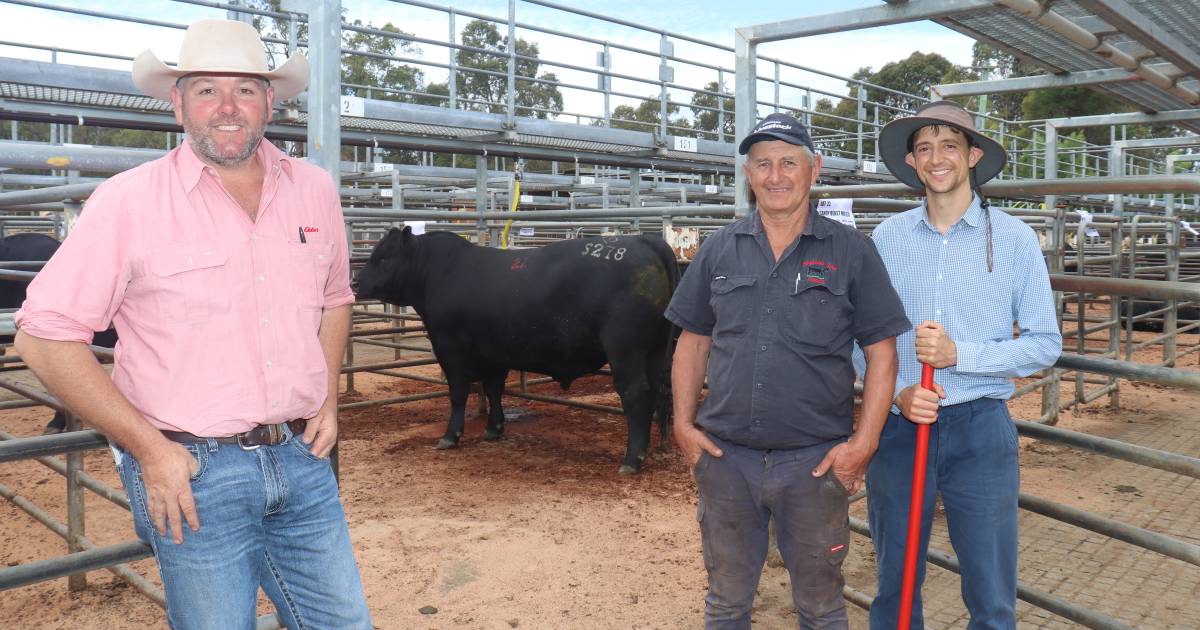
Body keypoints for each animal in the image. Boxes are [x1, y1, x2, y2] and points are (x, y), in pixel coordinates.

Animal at [350, 225, 681, 470]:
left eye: (384, 258)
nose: (354, 283)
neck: (439, 272)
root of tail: (645, 240)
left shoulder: (450, 348)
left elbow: (458, 393)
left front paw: (450, 436)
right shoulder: (493, 351)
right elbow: (493, 388)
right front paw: (494, 429)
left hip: (625, 349)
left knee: (636, 394)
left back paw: (631, 459)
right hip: (655, 350)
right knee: (658, 392)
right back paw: (650, 448)